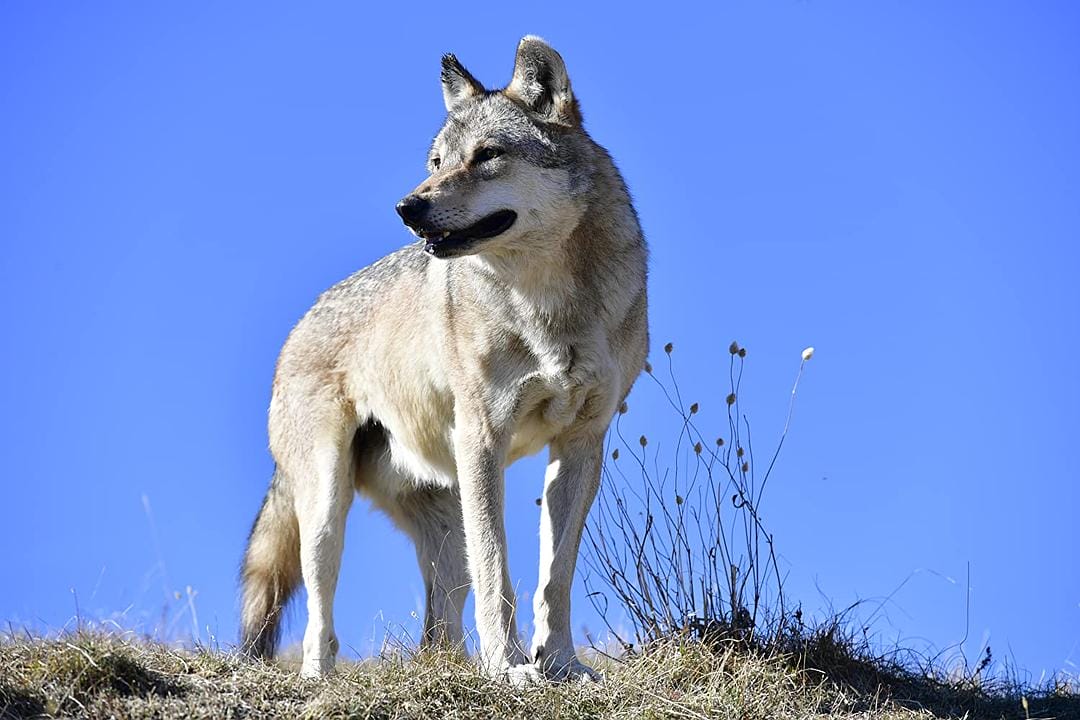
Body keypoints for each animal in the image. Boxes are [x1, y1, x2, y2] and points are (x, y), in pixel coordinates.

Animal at [239, 36, 648, 683]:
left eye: (487, 156)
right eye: (436, 162)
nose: (407, 207)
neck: (547, 305)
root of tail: (297, 327)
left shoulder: (582, 441)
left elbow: (553, 579)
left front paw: (560, 665)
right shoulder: (483, 436)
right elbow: (498, 574)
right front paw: (508, 669)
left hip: (447, 515)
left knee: (436, 633)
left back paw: (449, 671)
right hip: (327, 507)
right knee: (319, 620)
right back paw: (320, 681)